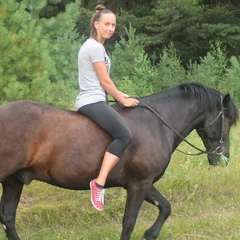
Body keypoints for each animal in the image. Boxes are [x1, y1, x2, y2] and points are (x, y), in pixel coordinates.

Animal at [0, 82, 238, 240]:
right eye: (227, 121)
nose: (223, 158)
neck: (157, 124)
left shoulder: (143, 183)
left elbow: (166, 207)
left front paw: (150, 234)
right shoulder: (139, 185)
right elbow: (129, 222)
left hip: (13, 181)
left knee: (8, 218)